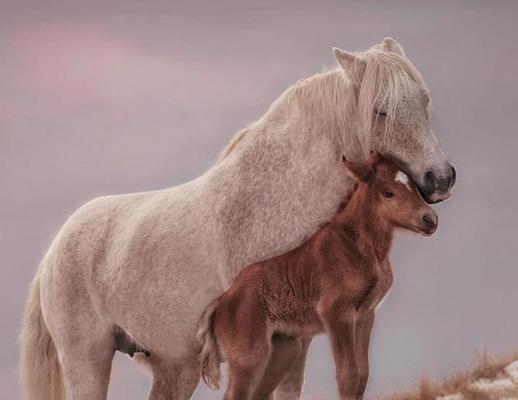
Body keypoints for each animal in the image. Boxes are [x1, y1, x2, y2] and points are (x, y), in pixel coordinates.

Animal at [198, 153, 438, 400]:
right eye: (387, 192)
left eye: (414, 187)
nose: (429, 219)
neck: (360, 249)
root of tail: (220, 303)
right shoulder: (336, 314)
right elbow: (348, 376)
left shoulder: (365, 315)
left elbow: (363, 376)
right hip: (249, 356)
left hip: (285, 350)